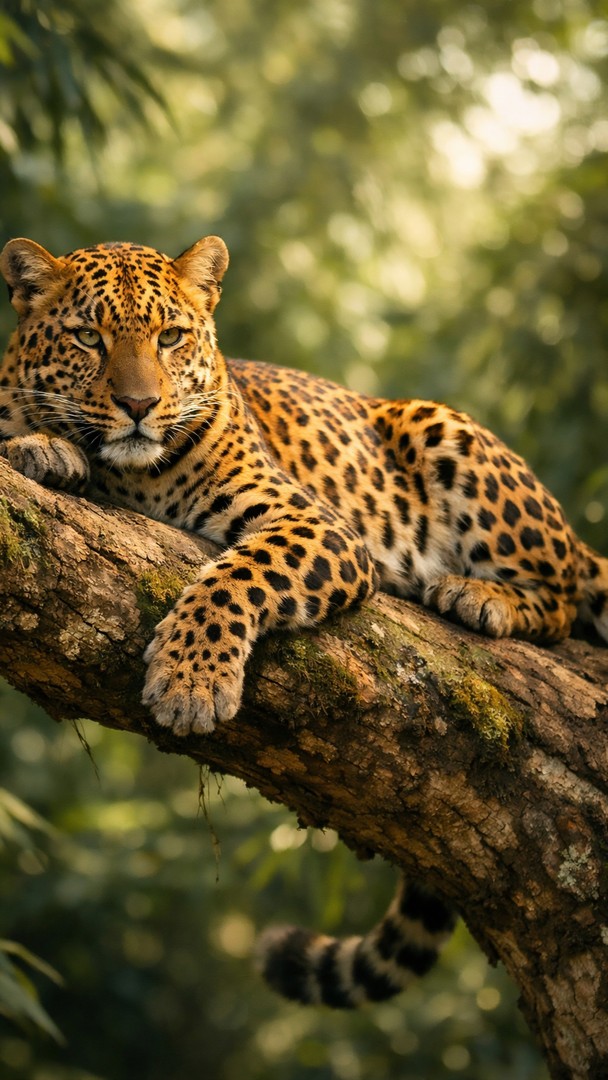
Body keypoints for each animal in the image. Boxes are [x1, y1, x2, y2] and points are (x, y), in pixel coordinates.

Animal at [1, 235, 607, 1010]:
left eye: (170, 337)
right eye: (87, 337)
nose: (139, 405)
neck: (128, 474)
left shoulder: (316, 524)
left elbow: (235, 578)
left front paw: (191, 684)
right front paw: (46, 449)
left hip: (444, 429)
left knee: (560, 595)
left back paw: (479, 595)